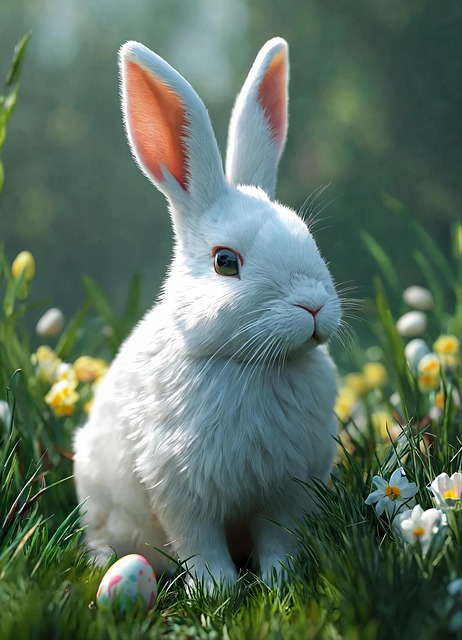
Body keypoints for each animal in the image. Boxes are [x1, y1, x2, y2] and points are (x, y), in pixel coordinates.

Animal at [73, 36, 342, 590]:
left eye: (307, 236)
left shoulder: (285, 493)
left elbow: (279, 541)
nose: (313, 305)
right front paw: (218, 589)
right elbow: (201, 545)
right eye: (225, 262)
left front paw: (280, 581)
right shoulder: (181, 491)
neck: (249, 363)